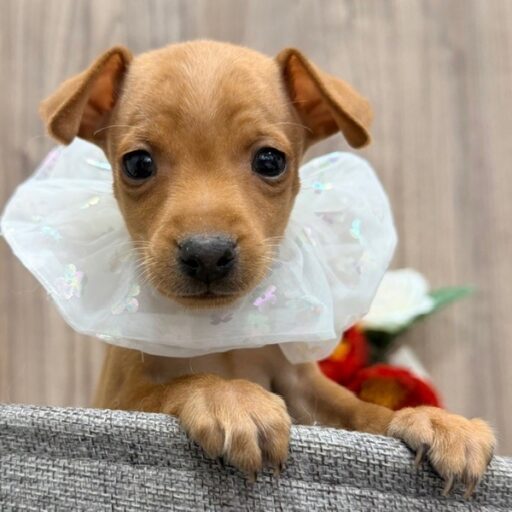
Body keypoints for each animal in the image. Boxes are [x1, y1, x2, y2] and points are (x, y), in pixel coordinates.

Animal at [39, 40, 495, 497]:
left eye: (270, 161)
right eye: (137, 164)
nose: (207, 254)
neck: (220, 333)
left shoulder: (303, 387)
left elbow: (358, 409)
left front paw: (432, 419)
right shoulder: (117, 400)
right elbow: (177, 384)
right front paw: (230, 397)